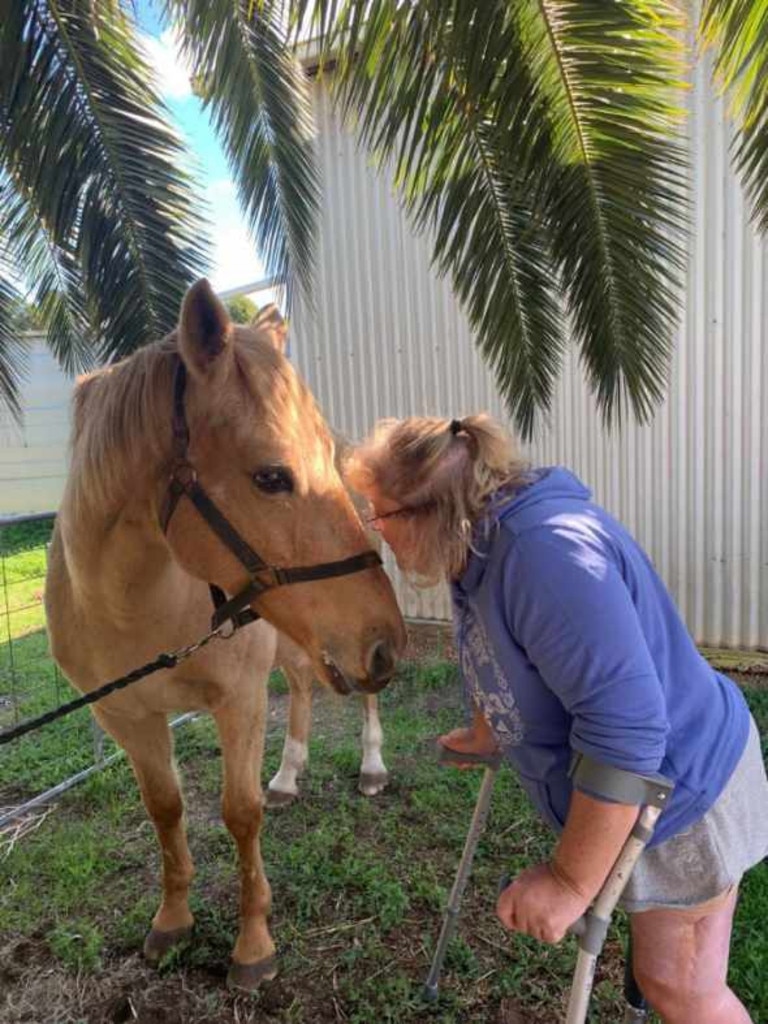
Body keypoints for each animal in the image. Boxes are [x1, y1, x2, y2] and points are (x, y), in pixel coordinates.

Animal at [44, 280, 405, 991]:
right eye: (270, 476)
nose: (388, 645)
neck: (133, 608)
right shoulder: (126, 715)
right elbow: (165, 808)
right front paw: (172, 920)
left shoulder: (238, 700)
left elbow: (240, 813)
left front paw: (253, 944)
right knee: (303, 687)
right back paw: (289, 774)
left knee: (361, 699)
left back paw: (372, 766)